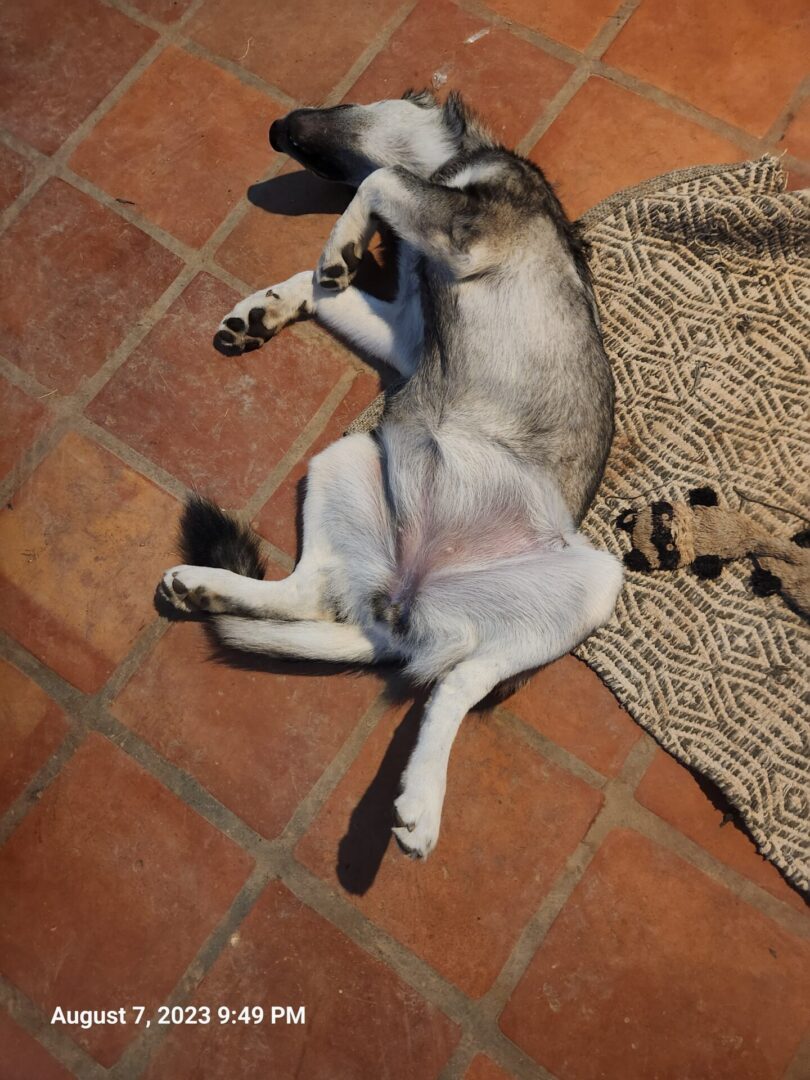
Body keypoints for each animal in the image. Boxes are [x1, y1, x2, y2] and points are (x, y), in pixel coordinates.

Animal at [159, 88, 626, 855]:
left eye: (350, 101)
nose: (276, 127)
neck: (454, 157)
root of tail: (404, 608)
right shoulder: (406, 330)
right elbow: (331, 286)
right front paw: (271, 305)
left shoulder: (465, 230)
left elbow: (378, 183)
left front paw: (337, 249)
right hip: (346, 456)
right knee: (311, 598)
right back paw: (203, 586)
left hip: (595, 583)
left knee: (458, 686)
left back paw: (422, 800)